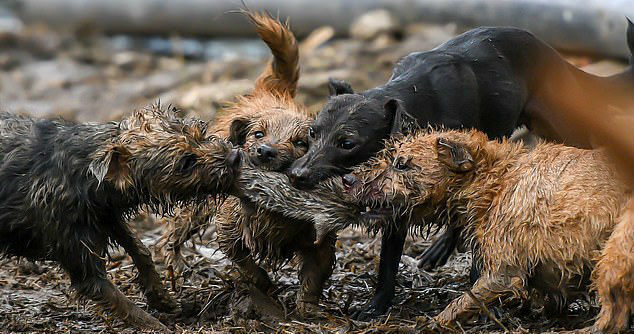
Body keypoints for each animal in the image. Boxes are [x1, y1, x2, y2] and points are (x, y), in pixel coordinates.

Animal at [0, 105, 241, 330]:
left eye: (201, 133)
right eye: (186, 162)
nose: (235, 157)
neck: (85, 173)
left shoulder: (106, 216)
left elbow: (140, 249)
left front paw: (160, 297)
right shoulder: (82, 261)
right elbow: (127, 307)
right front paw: (159, 326)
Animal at [160, 11, 336, 318]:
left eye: (301, 142)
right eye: (258, 134)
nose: (265, 151)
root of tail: (270, 93)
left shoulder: (321, 241)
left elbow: (314, 277)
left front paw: (308, 310)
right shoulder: (229, 227)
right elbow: (245, 262)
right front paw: (264, 286)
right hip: (197, 206)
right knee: (176, 230)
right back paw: (172, 264)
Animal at [286, 19, 632, 320]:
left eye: (348, 143)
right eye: (312, 133)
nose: (296, 175)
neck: (416, 100)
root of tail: (555, 55)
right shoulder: (398, 199)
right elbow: (388, 261)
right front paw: (375, 306)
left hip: (563, 125)